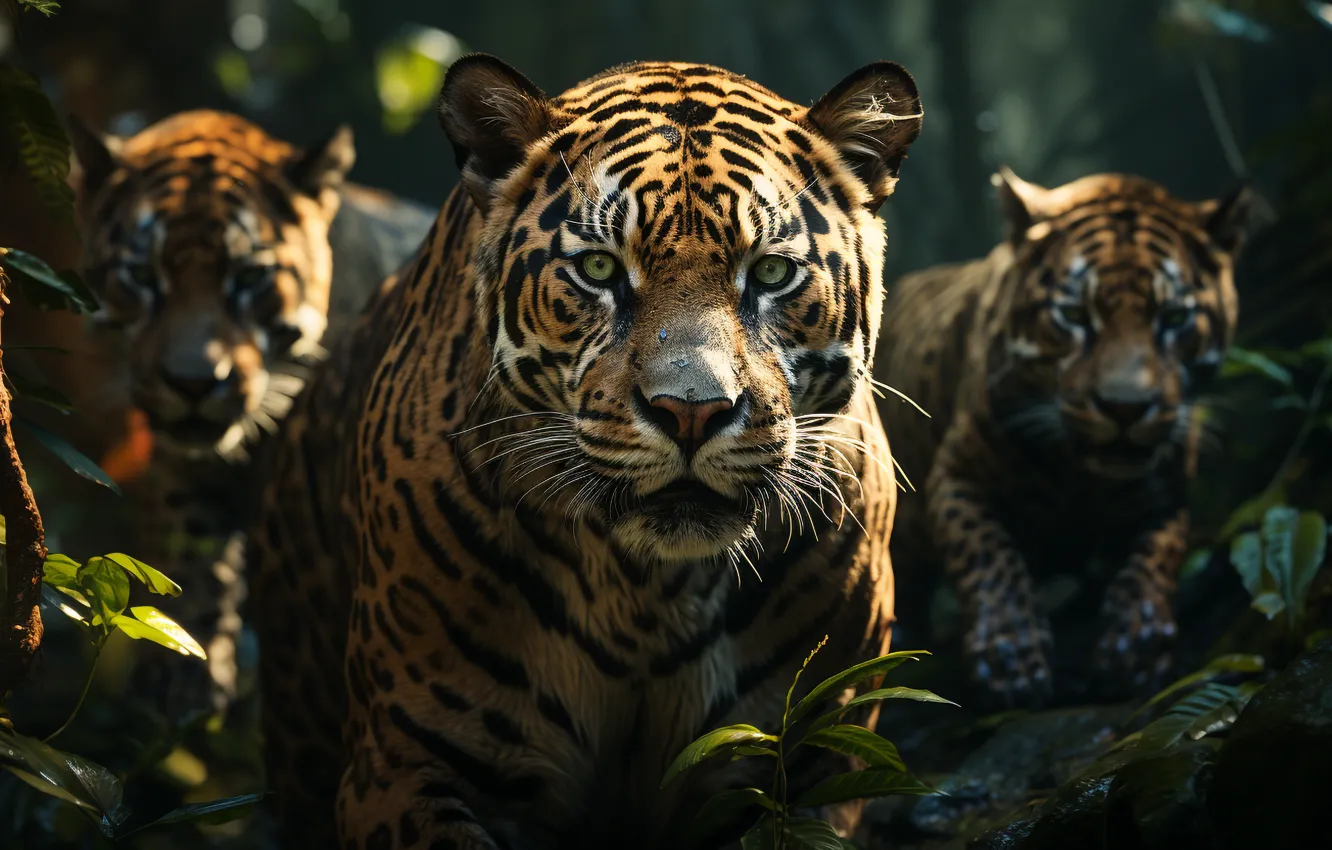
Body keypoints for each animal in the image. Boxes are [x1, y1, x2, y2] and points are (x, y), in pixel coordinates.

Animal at [69, 110, 435, 723]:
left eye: (249, 277)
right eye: (141, 276)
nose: (193, 382)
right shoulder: (183, 467)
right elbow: (188, 550)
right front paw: (179, 680)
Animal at [248, 54, 922, 849]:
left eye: (771, 273)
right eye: (599, 270)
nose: (691, 411)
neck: (647, 597)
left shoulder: (816, 765)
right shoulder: (404, 763)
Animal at [875, 167, 1252, 709]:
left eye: (1175, 319)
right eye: (1073, 316)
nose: (1124, 407)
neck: (1082, 477)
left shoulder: (1168, 497)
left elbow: (1158, 556)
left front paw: (1134, 651)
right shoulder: (955, 479)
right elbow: (988, 555)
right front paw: (1010, 663)